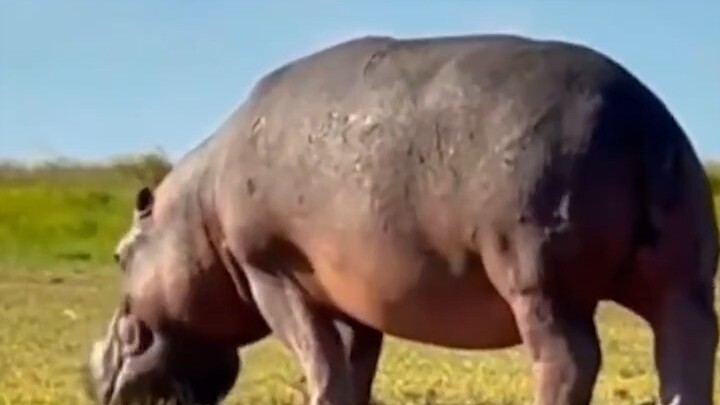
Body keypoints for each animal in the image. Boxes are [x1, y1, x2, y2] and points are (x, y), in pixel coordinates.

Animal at [85, 34, 719, 405]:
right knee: (686, 351)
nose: (91, 367)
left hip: (538, 281)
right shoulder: (350, 292)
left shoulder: (270, 272)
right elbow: (353, 364)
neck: (198, 214)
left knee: (568, 360)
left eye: (119, 254)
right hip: (682, 279)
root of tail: (640, 119)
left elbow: (318, 357)